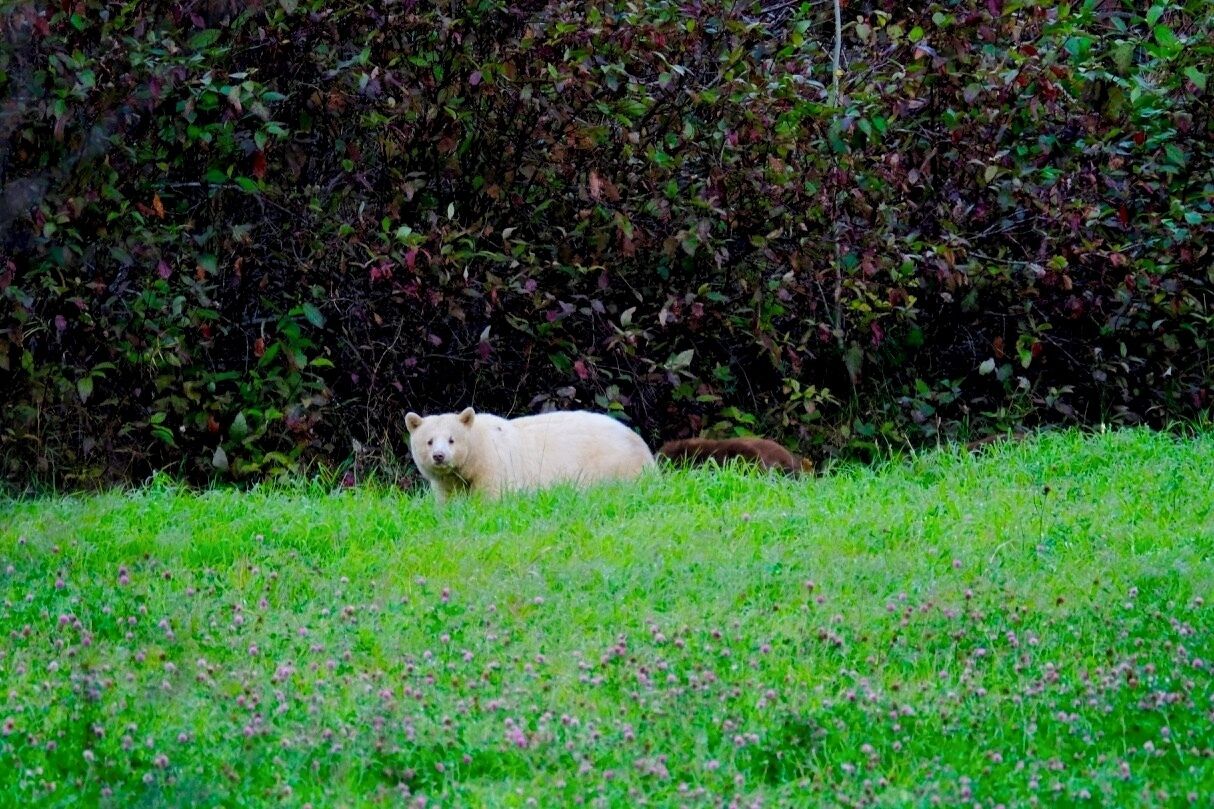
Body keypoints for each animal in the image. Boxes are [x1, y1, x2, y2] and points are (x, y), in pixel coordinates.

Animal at [404, 407, 655, 503]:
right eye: (429, 441)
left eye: (451, 439)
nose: (439, 456)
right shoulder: (448, 480)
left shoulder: (495, 464)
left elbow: (491, 495)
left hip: (614, 464)